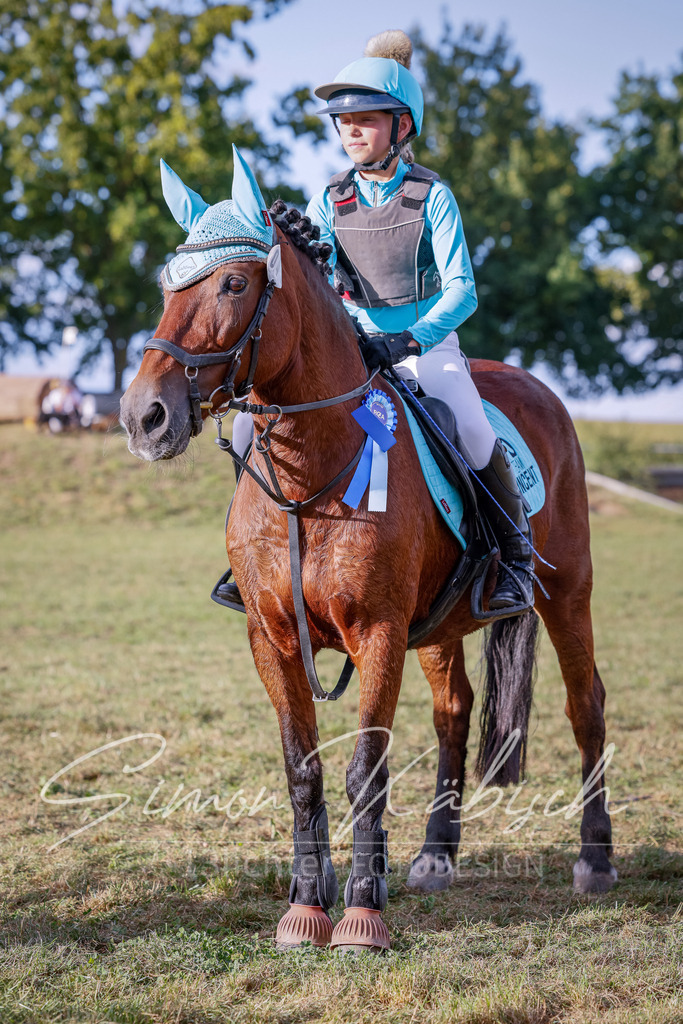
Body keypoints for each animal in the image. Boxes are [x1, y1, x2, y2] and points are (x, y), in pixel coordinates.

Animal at [120, 151, 616, 953]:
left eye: (233, 285)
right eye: (168, 284)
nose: (144, 417)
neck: (307, 475)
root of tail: (535, 388)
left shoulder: (378, 631)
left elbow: (363, 770)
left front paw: (360, 913)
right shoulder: (271, 637)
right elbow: (303, 769)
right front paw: (305, 904)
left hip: (567, 591)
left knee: (585, 706)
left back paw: (594, 860)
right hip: (441, 625)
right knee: (453, 711)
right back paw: (436, 857)